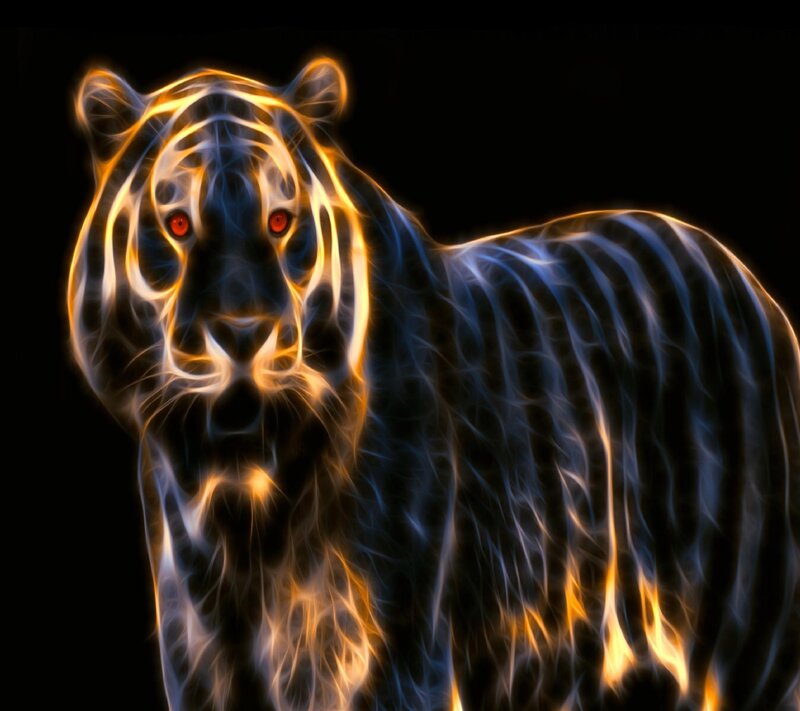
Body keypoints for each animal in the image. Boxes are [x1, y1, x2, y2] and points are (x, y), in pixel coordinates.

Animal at [68, 58, 800, 710]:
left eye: (280, 221)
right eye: (178, 224)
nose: (242, 332)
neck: (241, 500)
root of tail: (742, 277)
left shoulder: (392, 662)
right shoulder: (199, 661)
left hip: (756, 636)